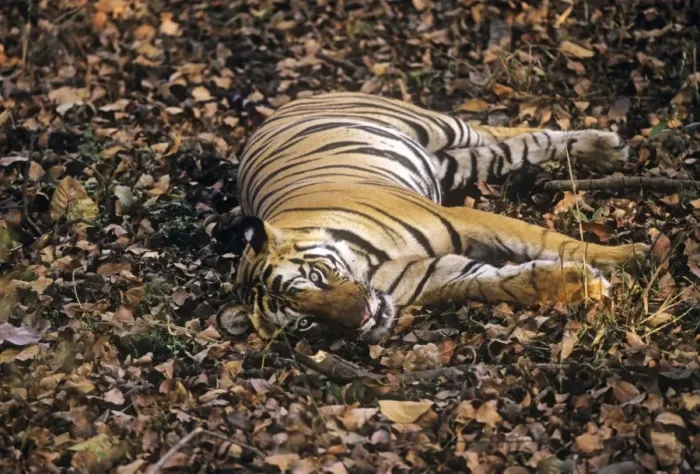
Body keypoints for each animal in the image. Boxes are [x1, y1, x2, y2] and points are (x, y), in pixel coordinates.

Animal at [215, 92, 649, 343]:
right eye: (304, 321)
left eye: (316, 277)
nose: (363, 319)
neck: (368, 266)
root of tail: (283, 106)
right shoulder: (437, 273)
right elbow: (502, 283)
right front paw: (578, 284)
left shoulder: (462, 218)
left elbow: (551, 241)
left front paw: (635, 256)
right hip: (459, 163)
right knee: (513, 148)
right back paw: (605, 150)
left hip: (439, 126)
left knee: (508, 131)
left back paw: (608, 147)